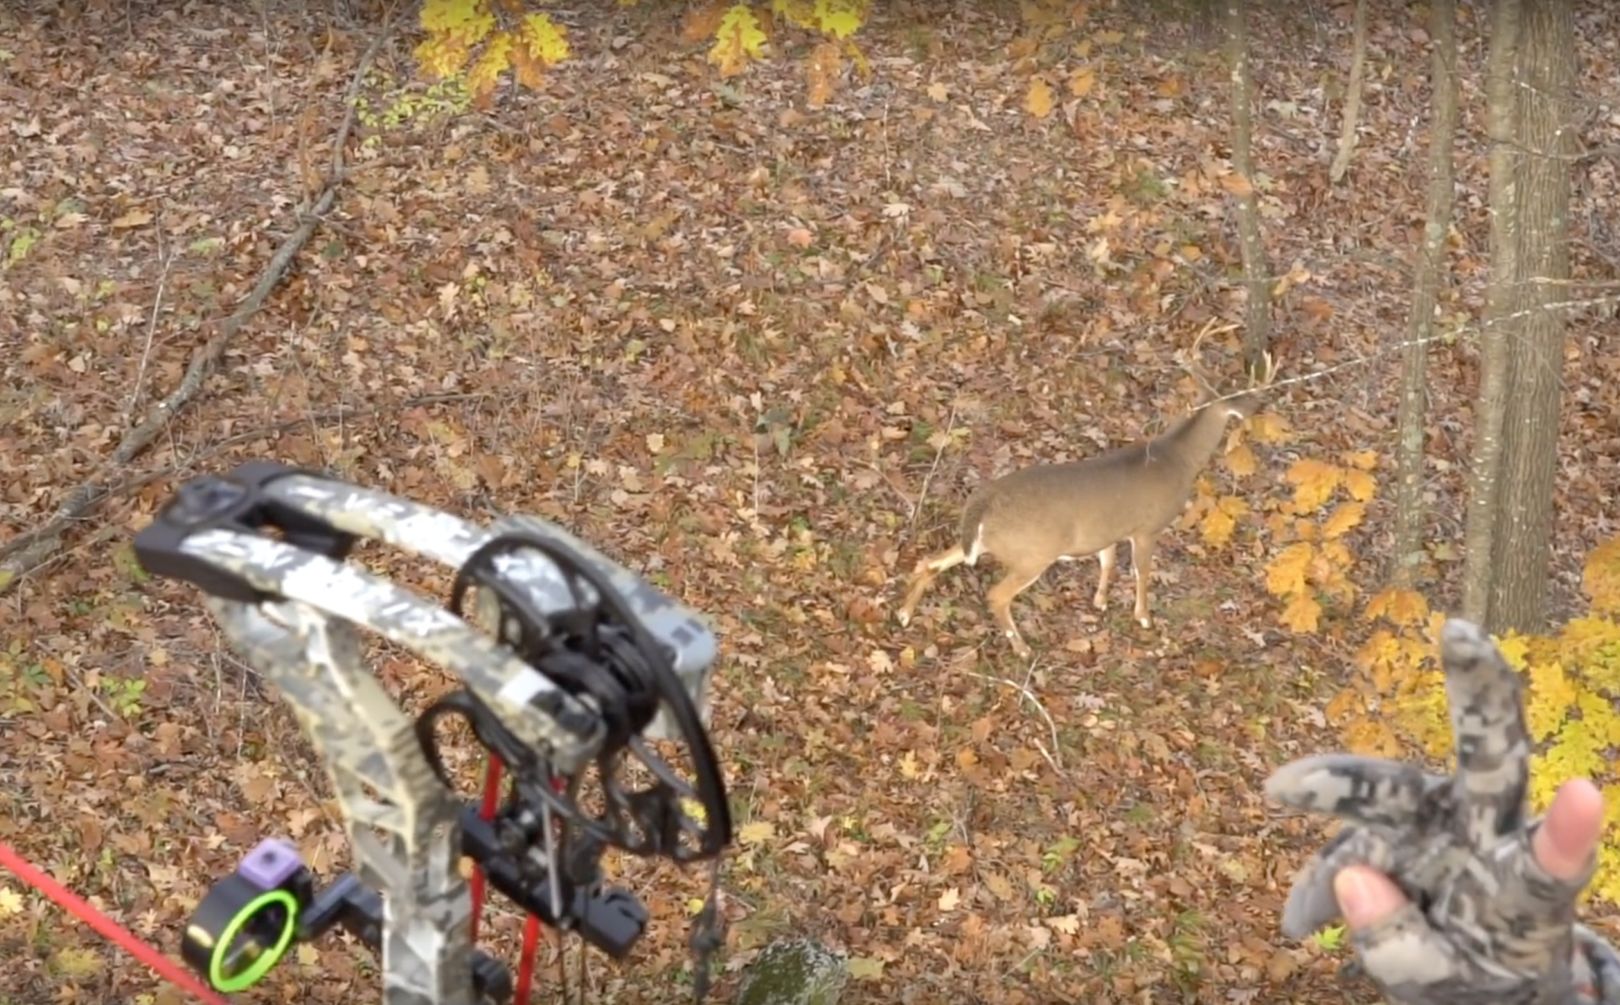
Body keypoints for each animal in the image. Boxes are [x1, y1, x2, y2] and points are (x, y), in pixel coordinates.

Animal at [887, 322, 1276, 664]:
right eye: (1242, 394)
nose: (1257, 407)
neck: (1178, 459)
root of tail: (983, 503)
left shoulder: (1108, 531)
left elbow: (1107, 560)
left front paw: (1100, 601)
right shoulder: (1148, 527)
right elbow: (1141, 571)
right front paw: (1143, 617)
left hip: (986, 543)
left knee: (929, 561)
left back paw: (904, 613)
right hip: (1033, 552)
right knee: (996, 595)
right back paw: (1022, 648)